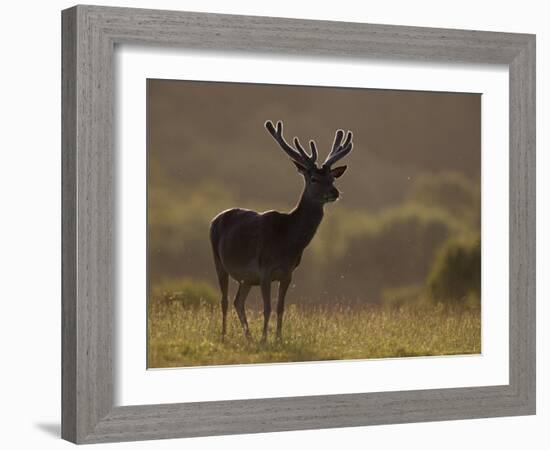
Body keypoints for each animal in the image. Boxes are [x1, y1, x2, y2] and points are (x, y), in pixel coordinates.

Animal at [209, 121, 356, 342]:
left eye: (332, 178)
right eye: (313, 178)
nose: (334, 192)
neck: (287, 243)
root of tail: (215, 219)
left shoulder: (288, 273)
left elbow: (280, 308)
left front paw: (278, 339)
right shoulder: (264, 270)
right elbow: (267, 308)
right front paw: (264, 340)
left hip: (246, 278)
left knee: (238, 301)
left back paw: (248, 337)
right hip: (219, 262)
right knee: (225, 300)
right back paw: (226, 335)